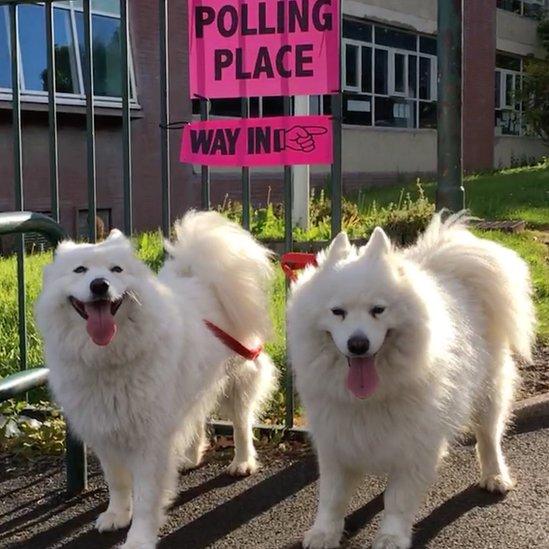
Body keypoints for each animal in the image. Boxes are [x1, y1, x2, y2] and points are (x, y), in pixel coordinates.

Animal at [34, 211, 274, 548]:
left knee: (241, 423)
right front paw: (117, 515)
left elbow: (147, 497)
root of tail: (202, 277)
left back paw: (242, 463)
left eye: (116, 269)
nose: (99, 285)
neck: (109, 359)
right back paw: (190, 456)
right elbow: (117, 483)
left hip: (237, 380)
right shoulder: (105, 432)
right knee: (197, 417)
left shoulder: (149, 441)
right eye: (80, 270)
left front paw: (138, 539)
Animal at [286, 213, 536, 548]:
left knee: (488, 436)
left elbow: (398, 499)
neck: (370, 398)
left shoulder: (415, 445)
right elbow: (332, 497)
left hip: (487, 392)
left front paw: (391, 536)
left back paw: (495, 476)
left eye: (378, 310)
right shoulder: (335, 441)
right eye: (338, 312)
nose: (358, 344)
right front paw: (324, 533)